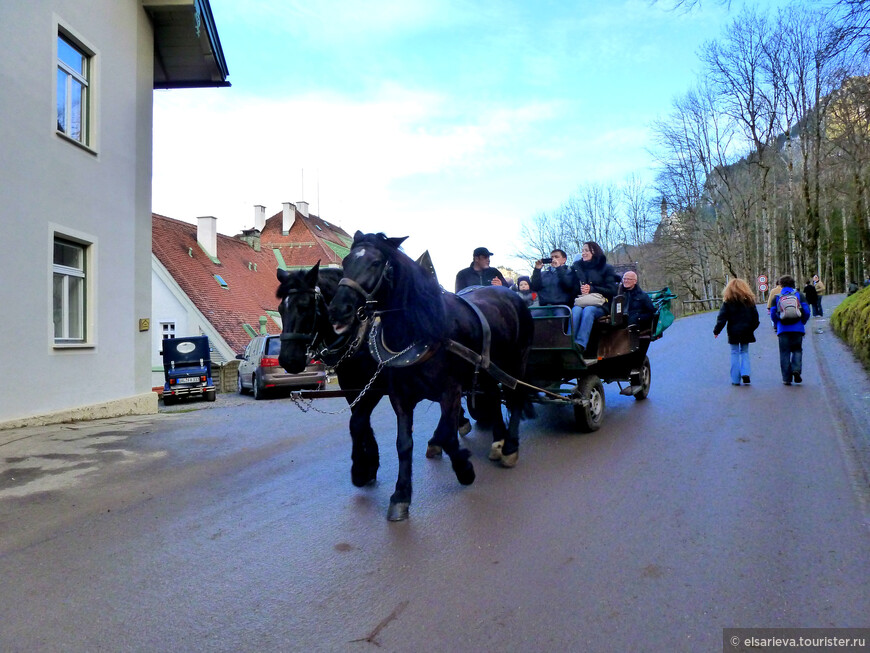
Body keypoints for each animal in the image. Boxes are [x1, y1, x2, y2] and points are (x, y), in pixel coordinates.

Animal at [276, 264, 384, 484]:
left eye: (304, 306)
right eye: (281, 309)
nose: (288, 360)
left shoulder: (374, 386)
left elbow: (357, 422)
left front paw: (359, 468)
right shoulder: (352, 386)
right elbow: (360, 421)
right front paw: (370, 464)